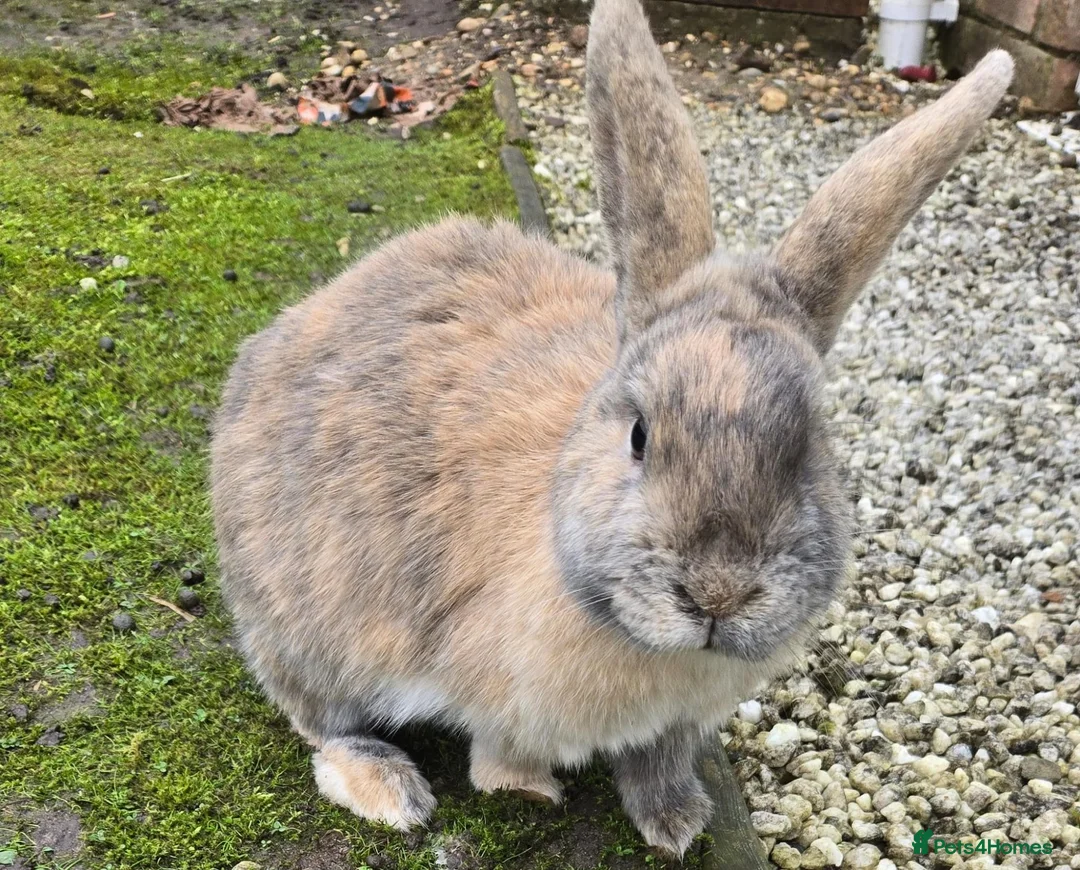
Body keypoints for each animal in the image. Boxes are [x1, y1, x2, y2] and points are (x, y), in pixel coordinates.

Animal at [209, 0, 1013, 854]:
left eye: (808, 449)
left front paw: (675, 821)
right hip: (307, 627)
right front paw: (527, 792)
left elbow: (658, 761)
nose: (718, 594)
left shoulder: (677, 723)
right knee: (319, 721)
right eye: (639, 436)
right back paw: (387, 789)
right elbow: (500, 754)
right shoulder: (496, 689)